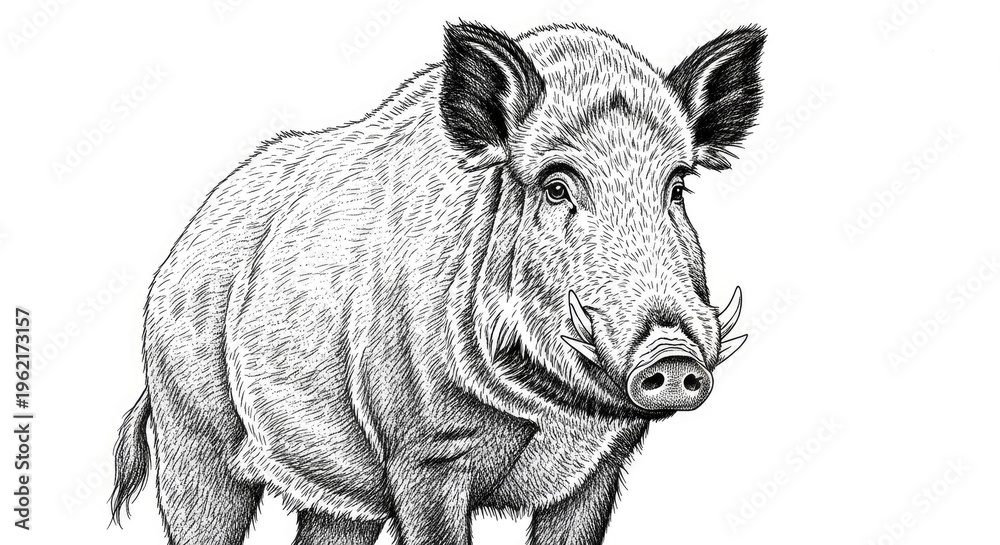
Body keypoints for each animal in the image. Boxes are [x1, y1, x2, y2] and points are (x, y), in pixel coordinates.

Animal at [110, 21, 762, 545]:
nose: (673, 357)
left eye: (677, 187)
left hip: (333, 492)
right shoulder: (424, 453)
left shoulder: (598, 471)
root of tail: (176, 253)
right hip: (191, 433)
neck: (552, 409)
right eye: (556, 186)